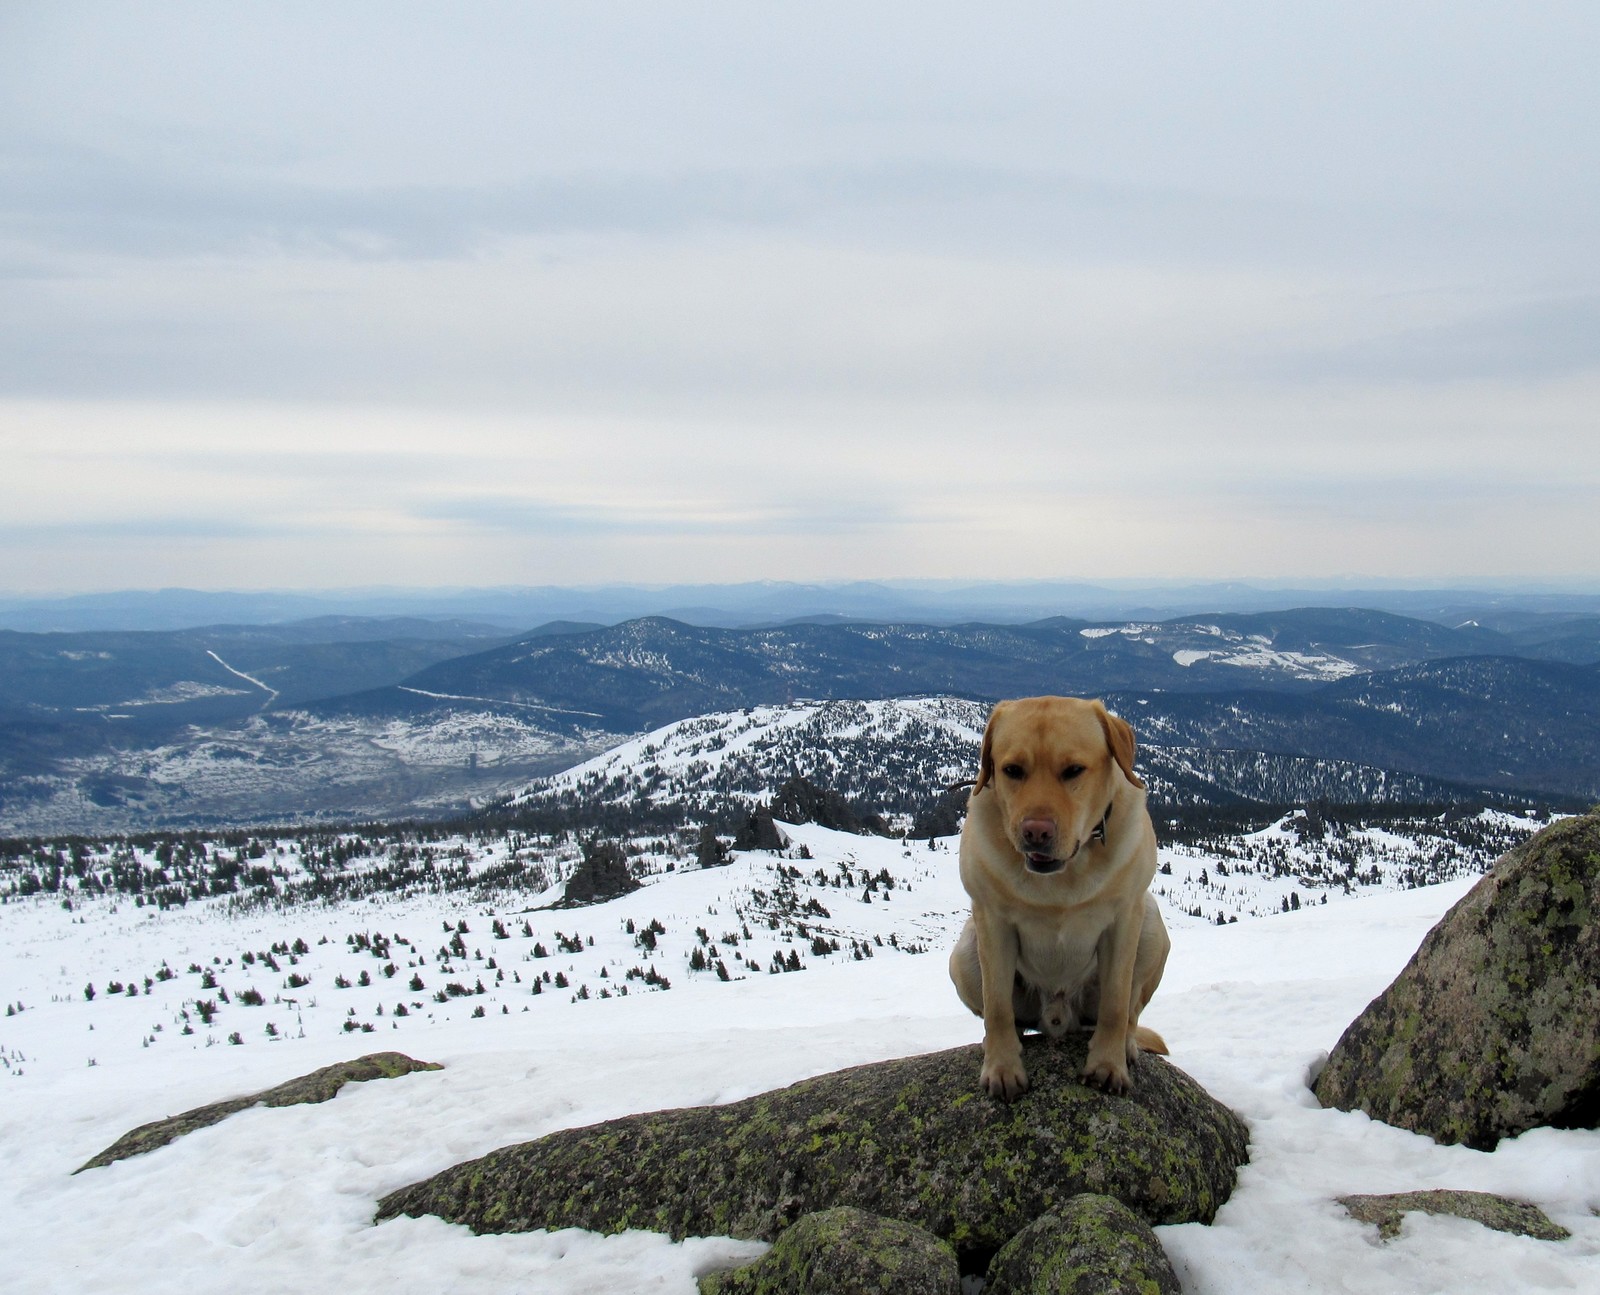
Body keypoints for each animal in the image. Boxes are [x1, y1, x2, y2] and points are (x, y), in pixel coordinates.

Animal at [940, 697, 1171, 1101]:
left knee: (1130, 1011)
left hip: (1152, 928)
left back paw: (1127, 1044)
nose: (1035, 832)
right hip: (965, 953)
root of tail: (1059, 1018)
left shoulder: (1125, 918)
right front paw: (1002, 1068)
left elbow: (1116, 1003)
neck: (1064, 876)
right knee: (1005, 1013)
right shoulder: (991, 921)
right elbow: (997, 1006)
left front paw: (1108, 1065)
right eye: (1012, 770)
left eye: (1073, 770)